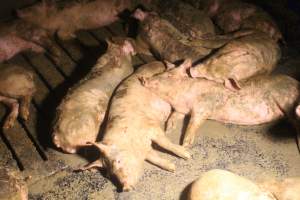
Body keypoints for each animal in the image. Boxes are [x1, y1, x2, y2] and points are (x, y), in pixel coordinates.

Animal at [16, 0, 148, 40]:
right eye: (29, 5)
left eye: (32, 8)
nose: (16, 11)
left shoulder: (69, 23)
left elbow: (61, 34)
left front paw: (73, 36)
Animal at [78, 61, 189, 191]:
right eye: (110, 174)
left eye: (118, 161)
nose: (125, 188)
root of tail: (158, 61)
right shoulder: (145, 148)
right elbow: (153, 158)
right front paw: (172, 168)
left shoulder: (150, 125)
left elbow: (165, 143)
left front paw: (187, 155)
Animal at [142, 58, 300, 148]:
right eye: (159, 73)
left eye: (169, 75)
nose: (144, 79)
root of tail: (295, 82)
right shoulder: (182, 110)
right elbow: (174, 116)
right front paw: (168, 129)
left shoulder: (204, 107)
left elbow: (194, 122)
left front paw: (185, 144)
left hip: (285, 99)